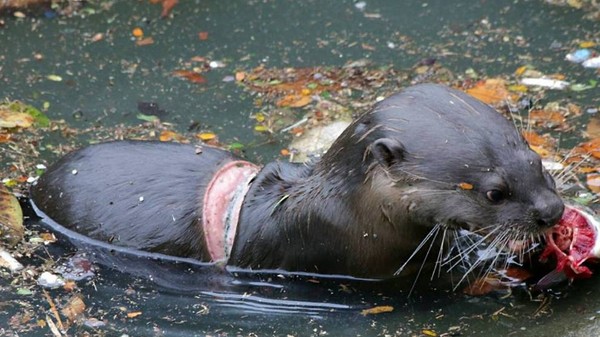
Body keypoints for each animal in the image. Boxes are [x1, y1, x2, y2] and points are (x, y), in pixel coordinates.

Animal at [28, 84, 564, 278]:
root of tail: (34, 186)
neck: (346, 214)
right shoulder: (362, 258)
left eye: (537, 162)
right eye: (495, 193)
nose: (552, 211)